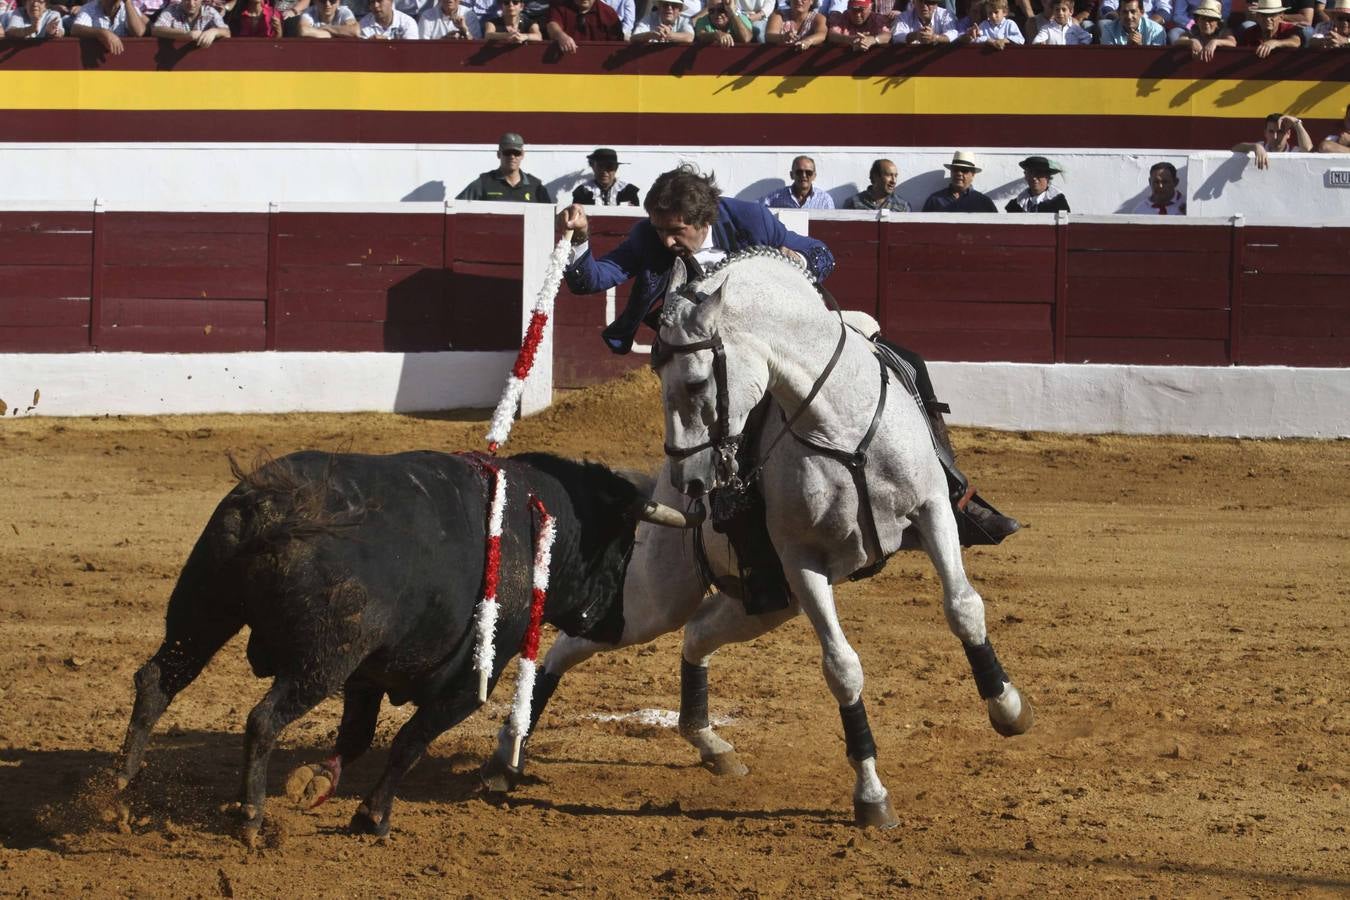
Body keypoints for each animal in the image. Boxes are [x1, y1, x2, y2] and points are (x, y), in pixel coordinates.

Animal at [113, 447, 661, 841]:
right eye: (624, 546)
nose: (616, 624)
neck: (536, 528)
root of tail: (283, 506)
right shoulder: (468, 683)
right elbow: (408, 743)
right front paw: (371, 817)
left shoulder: (367, 674)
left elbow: (357, 736)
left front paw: (318, 781)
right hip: (322, 659)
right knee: (263, 719)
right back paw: (249, 816)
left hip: (202, 612)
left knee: (157, 681)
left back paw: (122, 787)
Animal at [488, 249, 1031, 825]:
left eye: (697, 383)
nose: (692, 483)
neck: (836, 420)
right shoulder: (801, 560)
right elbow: (842, 667)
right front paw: (871, 795)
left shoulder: (932, 510)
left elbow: (963, 607)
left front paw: (1008, 708)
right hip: (664, 596)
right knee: (581, 640)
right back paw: (507, 751)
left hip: (767, 601)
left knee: (696, 634)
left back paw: (709, 743)